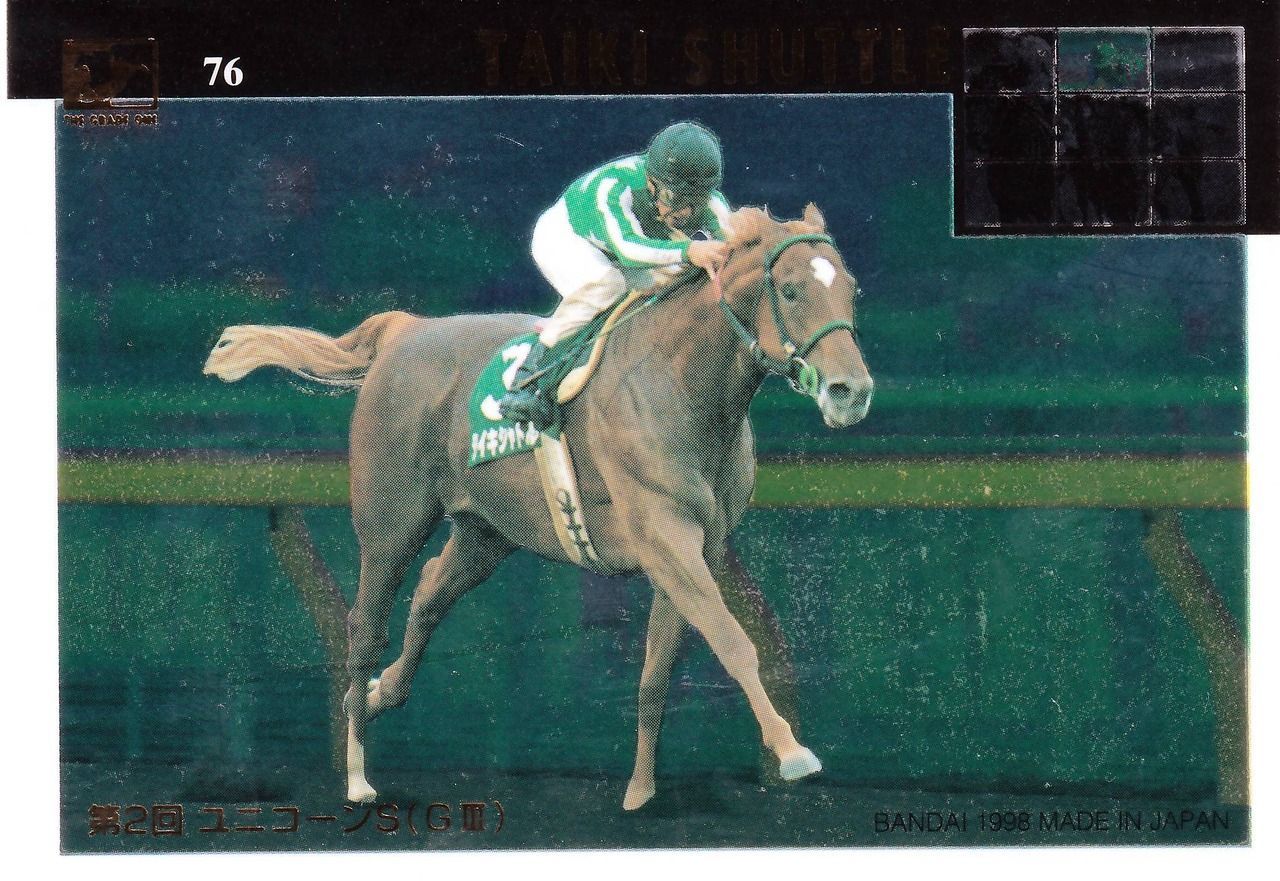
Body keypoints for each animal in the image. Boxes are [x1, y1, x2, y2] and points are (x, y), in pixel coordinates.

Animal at [203, 204, 874, 809]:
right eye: (789, 289)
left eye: (852, 288)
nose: (852, 392)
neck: (682, 386)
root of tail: (405, 330)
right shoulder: (665, 536)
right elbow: (734, 642)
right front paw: (792, 752)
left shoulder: (695, 549)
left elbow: (657, 670)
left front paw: (640, 790)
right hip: (390, 524)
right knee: (364, 627)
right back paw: (357, 772)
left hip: (487, 532)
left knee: (430, 593)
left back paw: (379, 692)